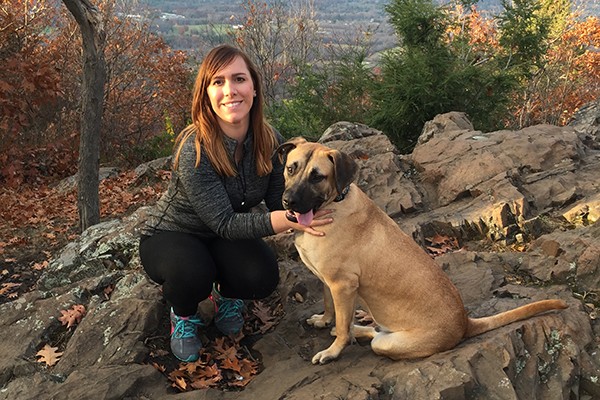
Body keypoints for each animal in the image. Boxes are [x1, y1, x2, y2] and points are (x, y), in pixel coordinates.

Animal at [276, 138, 568, 366]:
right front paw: (324, 320)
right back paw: (358, 328)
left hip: (389, 344)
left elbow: (340, 326)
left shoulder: (342, 284)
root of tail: (465, 323)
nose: (288, 202)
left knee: (374, 337)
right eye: (291, 168)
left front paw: (333, 350)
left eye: (317, 177)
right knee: (368, 330)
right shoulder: (328, 281)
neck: (333, 203)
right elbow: (331, 309)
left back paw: (355, 332)